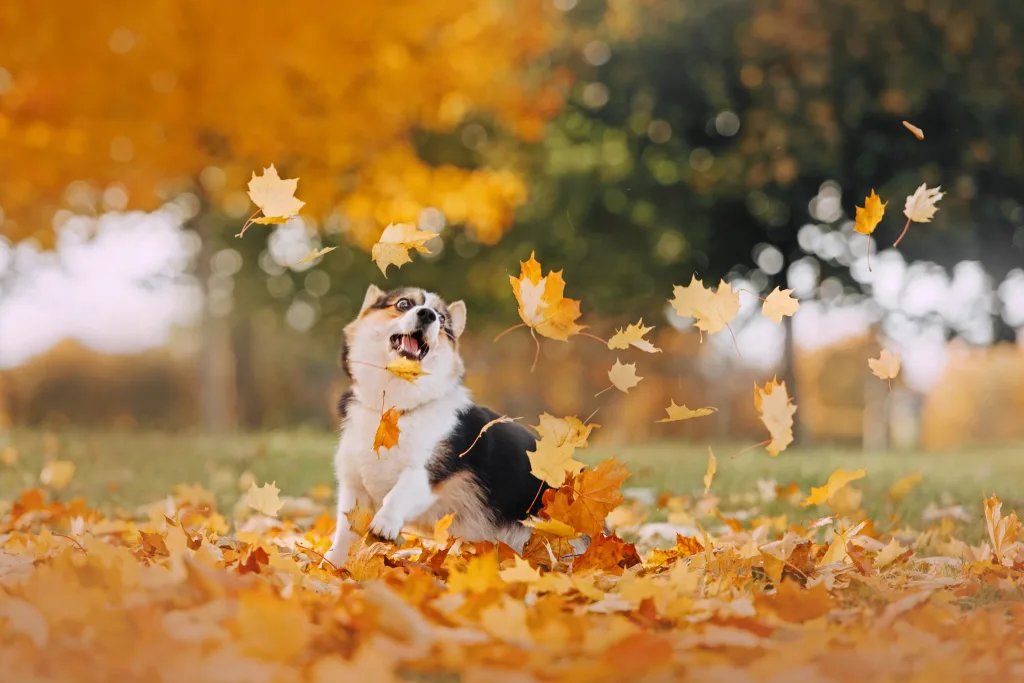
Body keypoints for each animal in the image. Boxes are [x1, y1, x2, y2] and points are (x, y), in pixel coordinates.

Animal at [325, 282, 552, 565]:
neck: (393, 408)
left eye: (442, 319)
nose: (428, 315)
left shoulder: (426, 472)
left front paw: (385, 523)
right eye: (403, 304)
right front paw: (330, 565)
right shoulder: (353, 488)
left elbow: (399, 492)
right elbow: (344, 534)